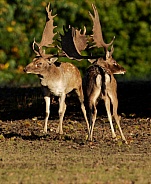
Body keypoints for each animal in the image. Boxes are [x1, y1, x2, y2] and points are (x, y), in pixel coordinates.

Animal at [24, 3, 89, 134]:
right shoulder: (46, 92)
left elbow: (59, 111)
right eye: (33, 59)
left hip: (78, 87)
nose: (25, 69)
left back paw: (87, 128)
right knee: (66, 107)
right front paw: (44, 130)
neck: (51, 83)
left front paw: (60, 132)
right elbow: (47, 111)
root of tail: (76, 68)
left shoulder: (62, 92)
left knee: (82, 106)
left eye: (39, 63)